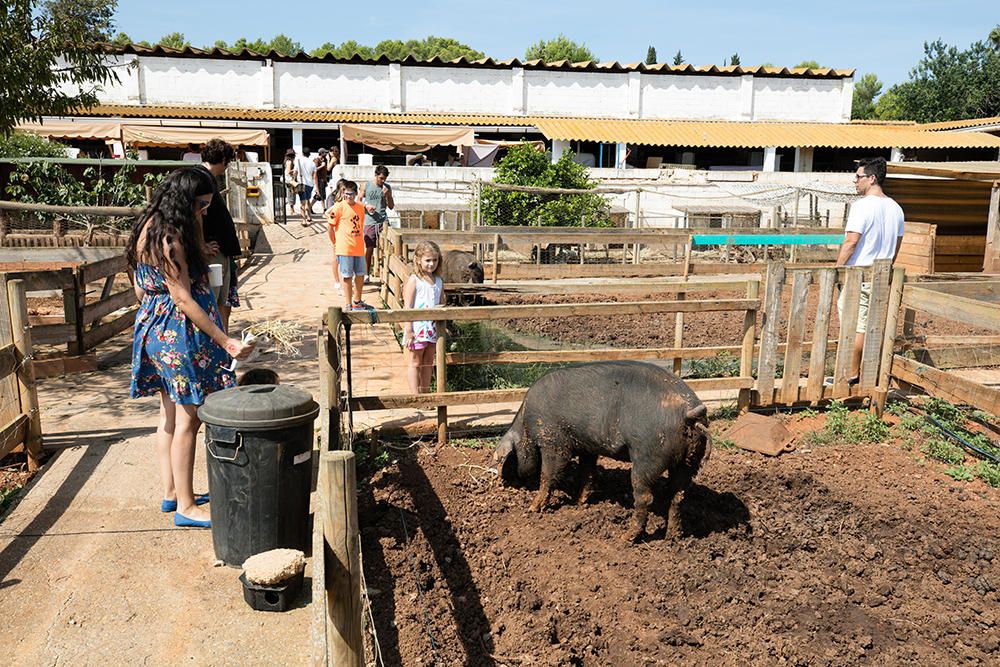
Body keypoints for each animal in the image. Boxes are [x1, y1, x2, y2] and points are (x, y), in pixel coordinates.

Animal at [492, 360, 712, 544]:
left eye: (510, 461)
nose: (507, 483)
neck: (526, 427)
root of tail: (688, 412)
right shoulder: (588, 448)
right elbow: (587, 473)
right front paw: (579, 502)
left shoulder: (553, 441)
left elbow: (548, 474)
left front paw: (532, 508)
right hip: (689, 462)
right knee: (678, 495)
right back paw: (673, 538)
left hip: (647, 457)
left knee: (644, 497)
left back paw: (625, 538)